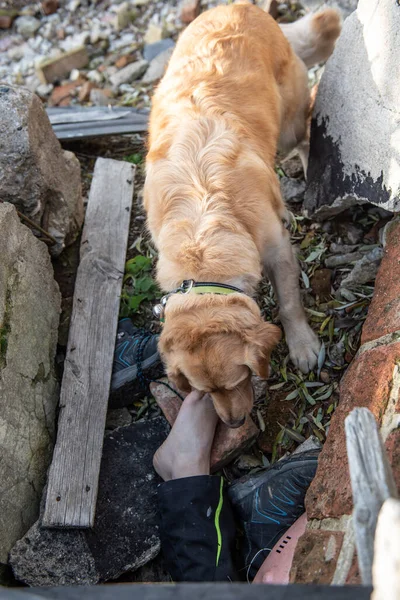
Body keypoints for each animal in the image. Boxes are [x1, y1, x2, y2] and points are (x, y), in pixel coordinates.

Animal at [144, 3, 340, 426]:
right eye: (204, 392)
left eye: (241, 378)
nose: (233, 423)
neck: (201, 240)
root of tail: (240, 6)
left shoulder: (277, 249)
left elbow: (289, 302)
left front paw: (302, 345)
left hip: (287, 121)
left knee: (303, 138)